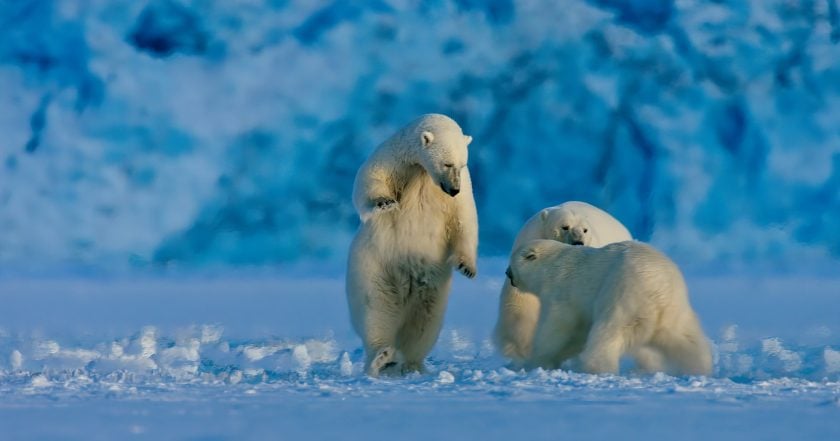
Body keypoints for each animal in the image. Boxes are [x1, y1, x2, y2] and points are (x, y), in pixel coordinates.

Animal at [346, 112, 480, 374]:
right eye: (447, 164)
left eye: (462, 164)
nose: (453, 189)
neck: (421, 171)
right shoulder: (393, 159)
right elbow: (368, 180)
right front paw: (385, 202)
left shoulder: (462, 190)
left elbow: (465, 220)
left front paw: (467, 268)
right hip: (375, 267)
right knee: (376, 310)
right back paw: (381, 357)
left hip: (433, 286)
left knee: (424, 323)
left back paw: (410, 364)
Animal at [492, 201, 632, 362]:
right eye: (565, 226)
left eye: (585, 230)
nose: (578, 242)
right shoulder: (530, 242)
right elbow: (521, 299)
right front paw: (521, 347)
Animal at [502, 237, 712, 374]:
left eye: (512, 261)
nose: (507, 272)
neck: (552, 266)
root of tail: (659, 290)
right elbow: (577, 333)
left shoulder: (563, 292)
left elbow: (558, 328)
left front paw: (535, 361)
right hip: (675, 311)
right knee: (686, 340)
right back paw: (699, 367)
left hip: (623, 294)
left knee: (609, 331)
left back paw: (592, 366)